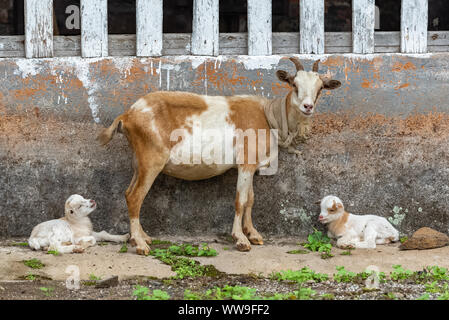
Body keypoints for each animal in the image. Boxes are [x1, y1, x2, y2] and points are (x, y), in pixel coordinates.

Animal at [98, 56, 340, 254]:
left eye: (320, 88)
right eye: (294, 85)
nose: (308, 107)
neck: (268, 116)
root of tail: (127, 115)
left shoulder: (250, 164)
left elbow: (251, 199)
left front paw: (254, 234)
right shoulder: (245, 163)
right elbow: (240, 200)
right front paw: (241, 240)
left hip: (138, 162)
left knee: (129, 192)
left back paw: (142, 237)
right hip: (151, 160)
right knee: (135, 196)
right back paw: (140, 245)